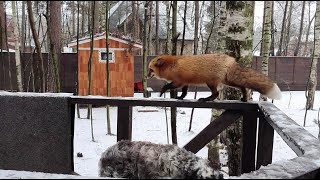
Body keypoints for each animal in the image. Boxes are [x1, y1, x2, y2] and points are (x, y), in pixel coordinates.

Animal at [146, 52, 282, 102]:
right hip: (228, 81)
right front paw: (180, 98)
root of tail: (231, 60)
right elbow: (184, 93)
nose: (146, 77)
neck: (172, 66)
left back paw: (206, 99)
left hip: (211, 83)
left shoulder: (178, 82)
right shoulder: (185, 83)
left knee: (216, 94)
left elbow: (166, 86)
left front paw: (161, 93)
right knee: (243, 87)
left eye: (150, 69)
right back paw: (244, 98)